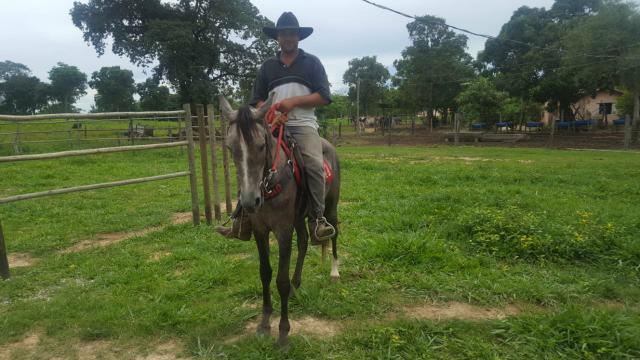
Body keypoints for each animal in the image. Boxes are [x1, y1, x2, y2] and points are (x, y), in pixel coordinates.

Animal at [219, 93, 340, 348]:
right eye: (230, 148)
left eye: (261, 145)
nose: (249, 201)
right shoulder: (260, 230)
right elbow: (265, 273)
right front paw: (265, 323)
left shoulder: (283, 230)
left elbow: (280, 280)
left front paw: (283, 332)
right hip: (300, 217)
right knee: (303, 242)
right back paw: (297, 284)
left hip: (331, 206)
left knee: (335, 232)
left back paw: (335, 272)